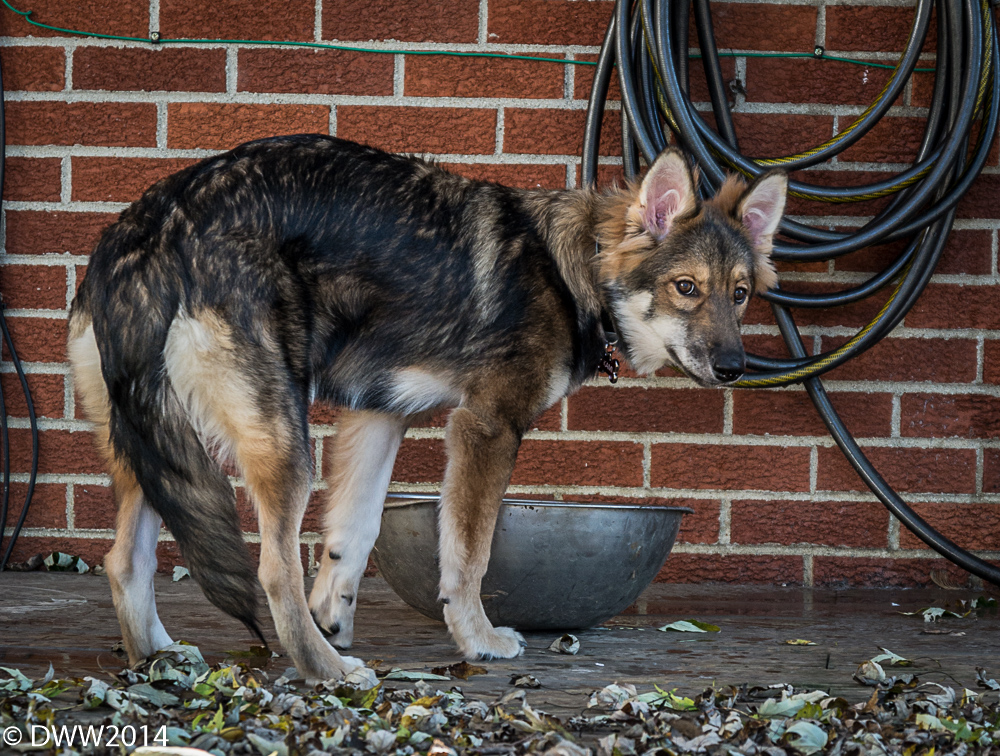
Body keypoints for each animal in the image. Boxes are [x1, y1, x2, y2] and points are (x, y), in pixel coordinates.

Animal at [67, 134, 786, 679]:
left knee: (123, 561)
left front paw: (335, 616)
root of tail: (156, 226)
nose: (734, 368)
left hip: (153, 450)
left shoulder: (379, 413)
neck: (571, 268)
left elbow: (351, 535)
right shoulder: (486, 426)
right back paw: (325, 670)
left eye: (741, 294)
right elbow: (468, 553)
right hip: (279, 442)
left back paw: (159, 658)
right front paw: (477, 638)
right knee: (272, 569)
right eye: (686, 288)